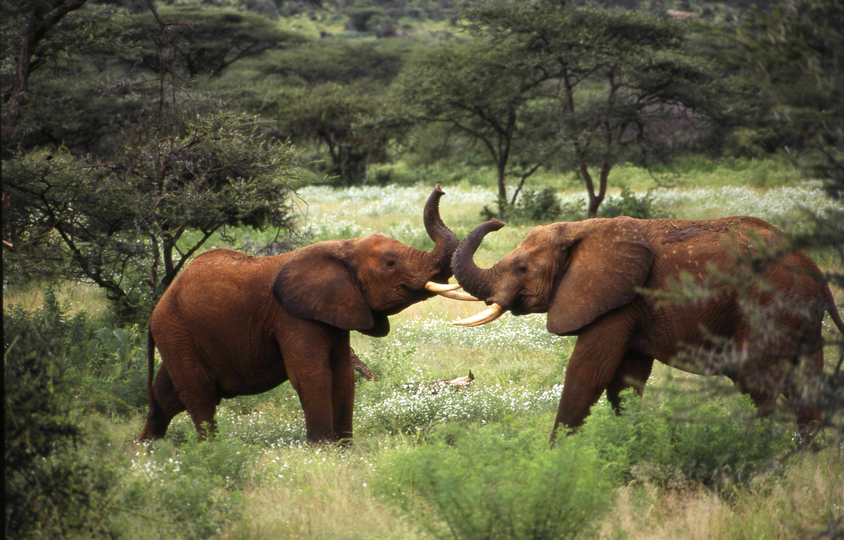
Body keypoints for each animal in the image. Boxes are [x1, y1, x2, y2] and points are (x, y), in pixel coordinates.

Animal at [142, 186, 478, 442]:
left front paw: (344, 450)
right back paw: (210, 453)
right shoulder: (292, 318)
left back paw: (147, 455)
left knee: (165, 397)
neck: (341, 249)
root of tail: (157, 307)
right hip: (177, 330)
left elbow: (343, 378)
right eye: (390, 264)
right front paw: (322, 451)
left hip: (177, 335)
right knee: (198, 395)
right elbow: (313, 376)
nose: (441, 189)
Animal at [452, 213, 844, 440]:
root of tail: (815, 270)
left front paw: (557, 460)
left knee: (756, 381)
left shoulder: (619, 298)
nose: (497, 222)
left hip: (768, 304)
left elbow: (588, 371)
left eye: (521, 268)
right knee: (803, 385)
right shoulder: (630, 305)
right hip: (799, 316)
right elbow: (626, 380)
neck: (582, 228)